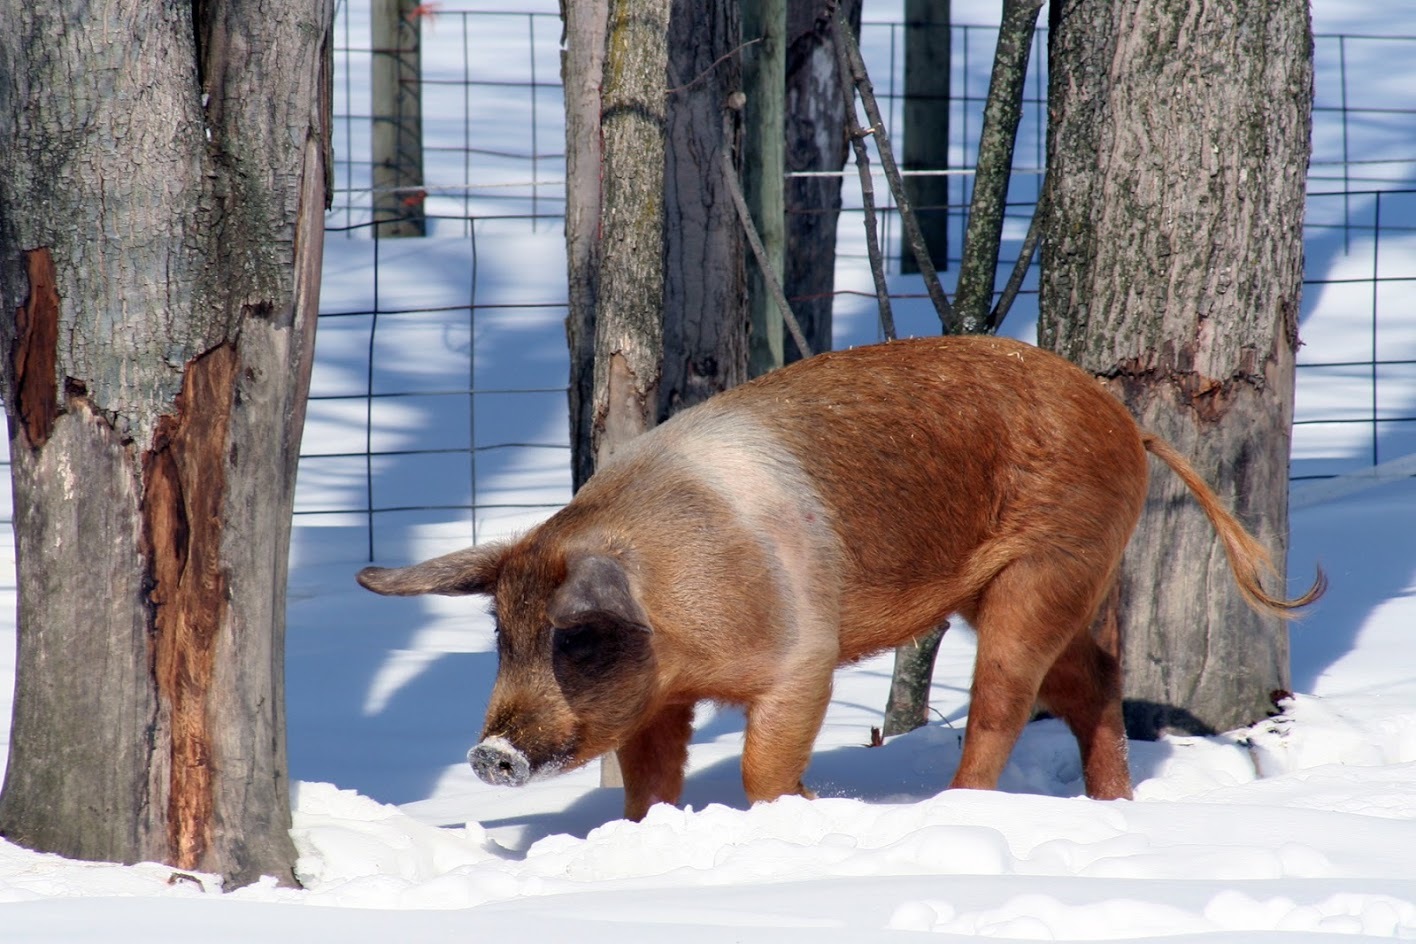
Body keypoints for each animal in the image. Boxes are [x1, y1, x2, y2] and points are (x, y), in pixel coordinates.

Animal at [357, 335, 1323, 820]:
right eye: (503, 635)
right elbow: (647, 783)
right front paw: (642, 835)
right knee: (1094, 686)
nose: (490, 751)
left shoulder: (803, 658)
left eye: (578, 638)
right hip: (1063, 582)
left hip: (1051, 561)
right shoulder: (660, 698)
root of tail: (1124, 420)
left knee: (1008, 701)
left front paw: (806, 807)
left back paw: (953, 808)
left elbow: (761, 765)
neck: (674, 612)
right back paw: (1107, 807)